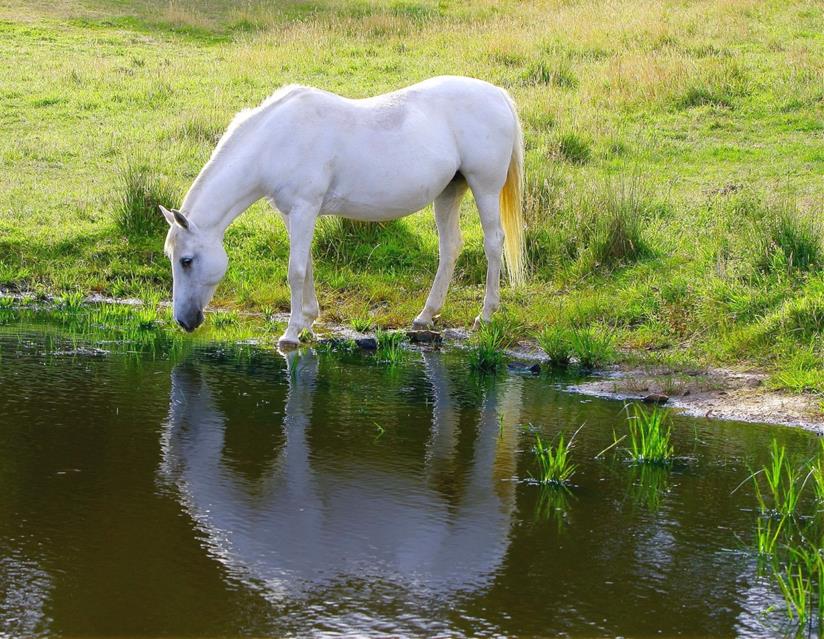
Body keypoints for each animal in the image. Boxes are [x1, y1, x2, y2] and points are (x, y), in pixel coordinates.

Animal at [159, 75, 525, 347]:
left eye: (186, 261)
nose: (184, 321)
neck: (276, 140)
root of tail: (497, 95)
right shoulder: (293, 213)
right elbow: (306, 265)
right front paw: (307, 321)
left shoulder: (304, 208)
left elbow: (295, 271)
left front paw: (290, 334)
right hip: (449, 192)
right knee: (450, 248)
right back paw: (425, 316)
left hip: (485, 188)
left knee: (493, 243)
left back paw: (485, 315)